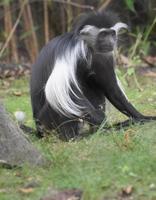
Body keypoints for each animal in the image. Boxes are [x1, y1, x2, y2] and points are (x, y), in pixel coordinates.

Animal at [30, 10, 156, 141]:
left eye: (112, 33)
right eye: (103, 34)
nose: (111, 41)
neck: (88, 47)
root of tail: (39, 129)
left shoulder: (103, 56)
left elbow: (111, 89)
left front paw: (142, 117)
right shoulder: (72, 52)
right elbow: (65, 92)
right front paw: (106, 124)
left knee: (93, 86)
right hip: (47, 121)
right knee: (61, 99)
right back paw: (74, 137)